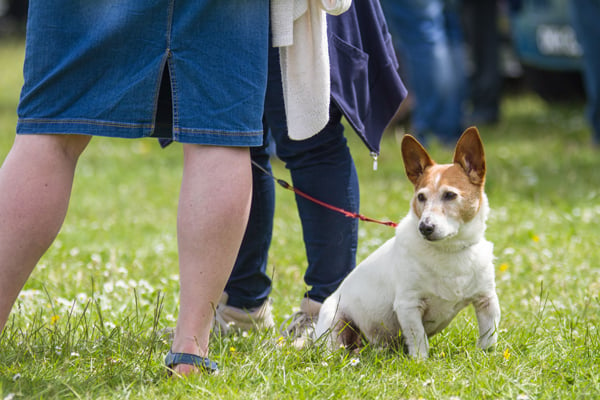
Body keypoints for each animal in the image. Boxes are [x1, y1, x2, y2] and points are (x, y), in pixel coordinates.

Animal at [316, 126, 500, 358]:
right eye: (421, 197)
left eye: (450, 195)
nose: (425, 227)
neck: (449, 250)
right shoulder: (408, 305)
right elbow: (418, 338)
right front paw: (420, 361)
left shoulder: (487, 300)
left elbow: (489, 336)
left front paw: (488, 356)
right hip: (336, 324)